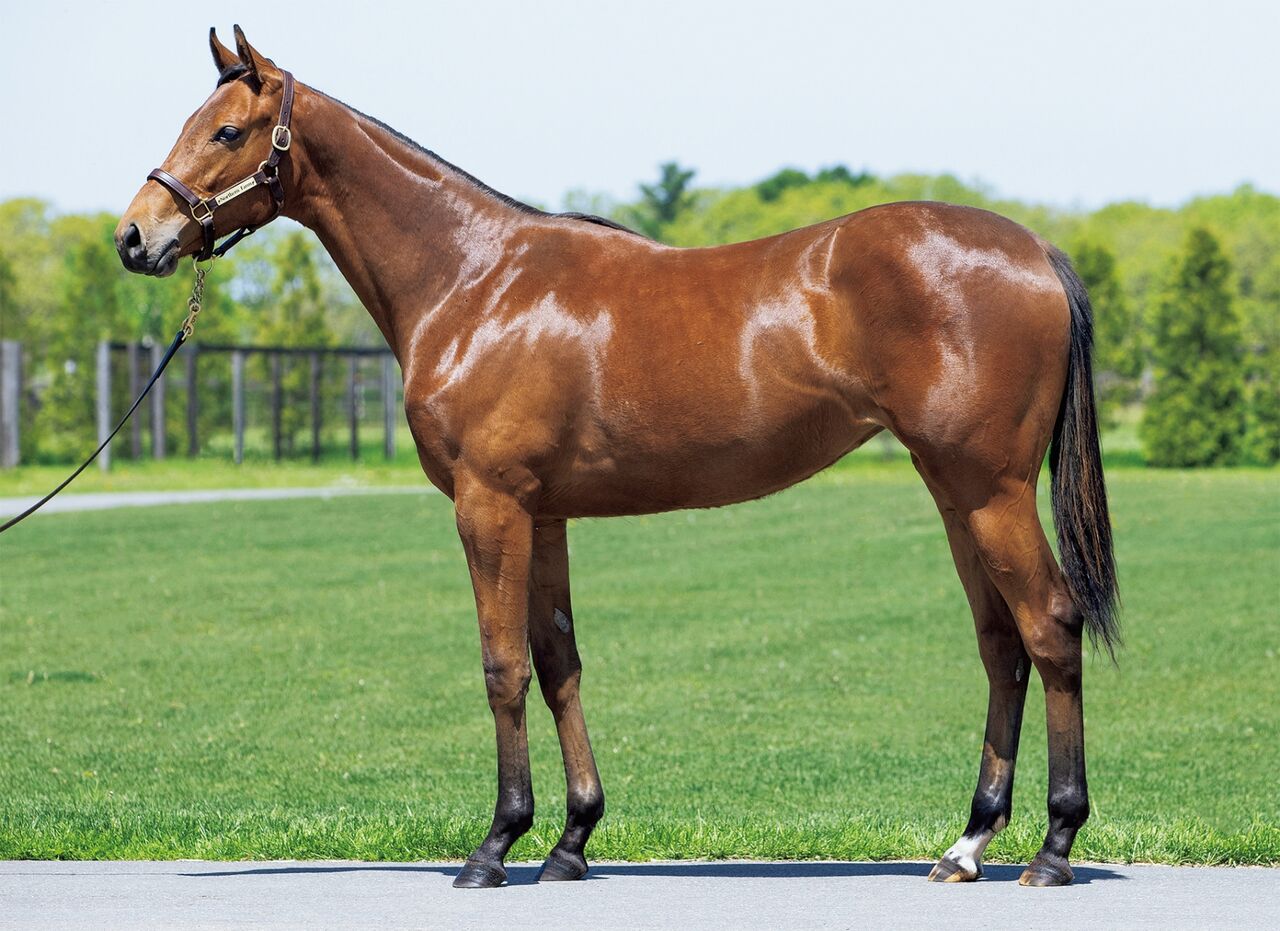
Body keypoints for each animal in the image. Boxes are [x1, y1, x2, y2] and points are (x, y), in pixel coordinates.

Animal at [116, 26, 1118, 889]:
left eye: (227, 131)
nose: (134, 237)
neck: (474, 279)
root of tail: (1035, 249)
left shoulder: (488, 505)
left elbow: (502, 666)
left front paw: (495, 844)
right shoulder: (545, 511)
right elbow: (558, 660)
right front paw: (570, 839)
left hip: (990, 491)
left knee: (1049, 624)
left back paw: (1054, 844)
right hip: (955, 492)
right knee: (1001, 644)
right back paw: (969, 842)